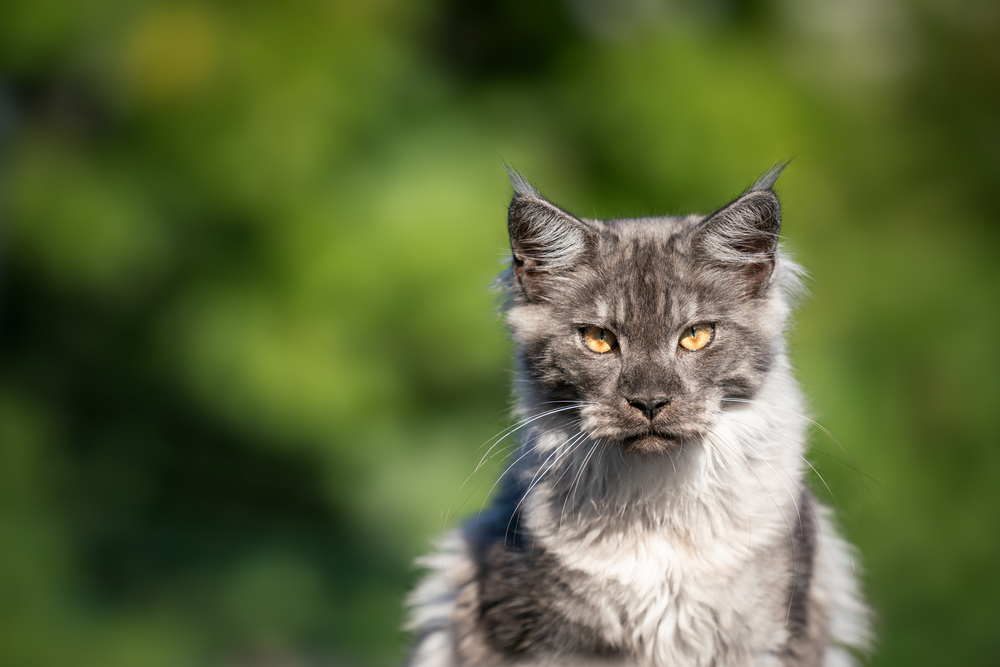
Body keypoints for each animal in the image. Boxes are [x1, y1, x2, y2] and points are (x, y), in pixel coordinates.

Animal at [402, 163, 872, 667]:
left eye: (696, 336)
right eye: (598, 339)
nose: (649, 402)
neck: (656, 509)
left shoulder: (767, 639)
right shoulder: (544, 641)